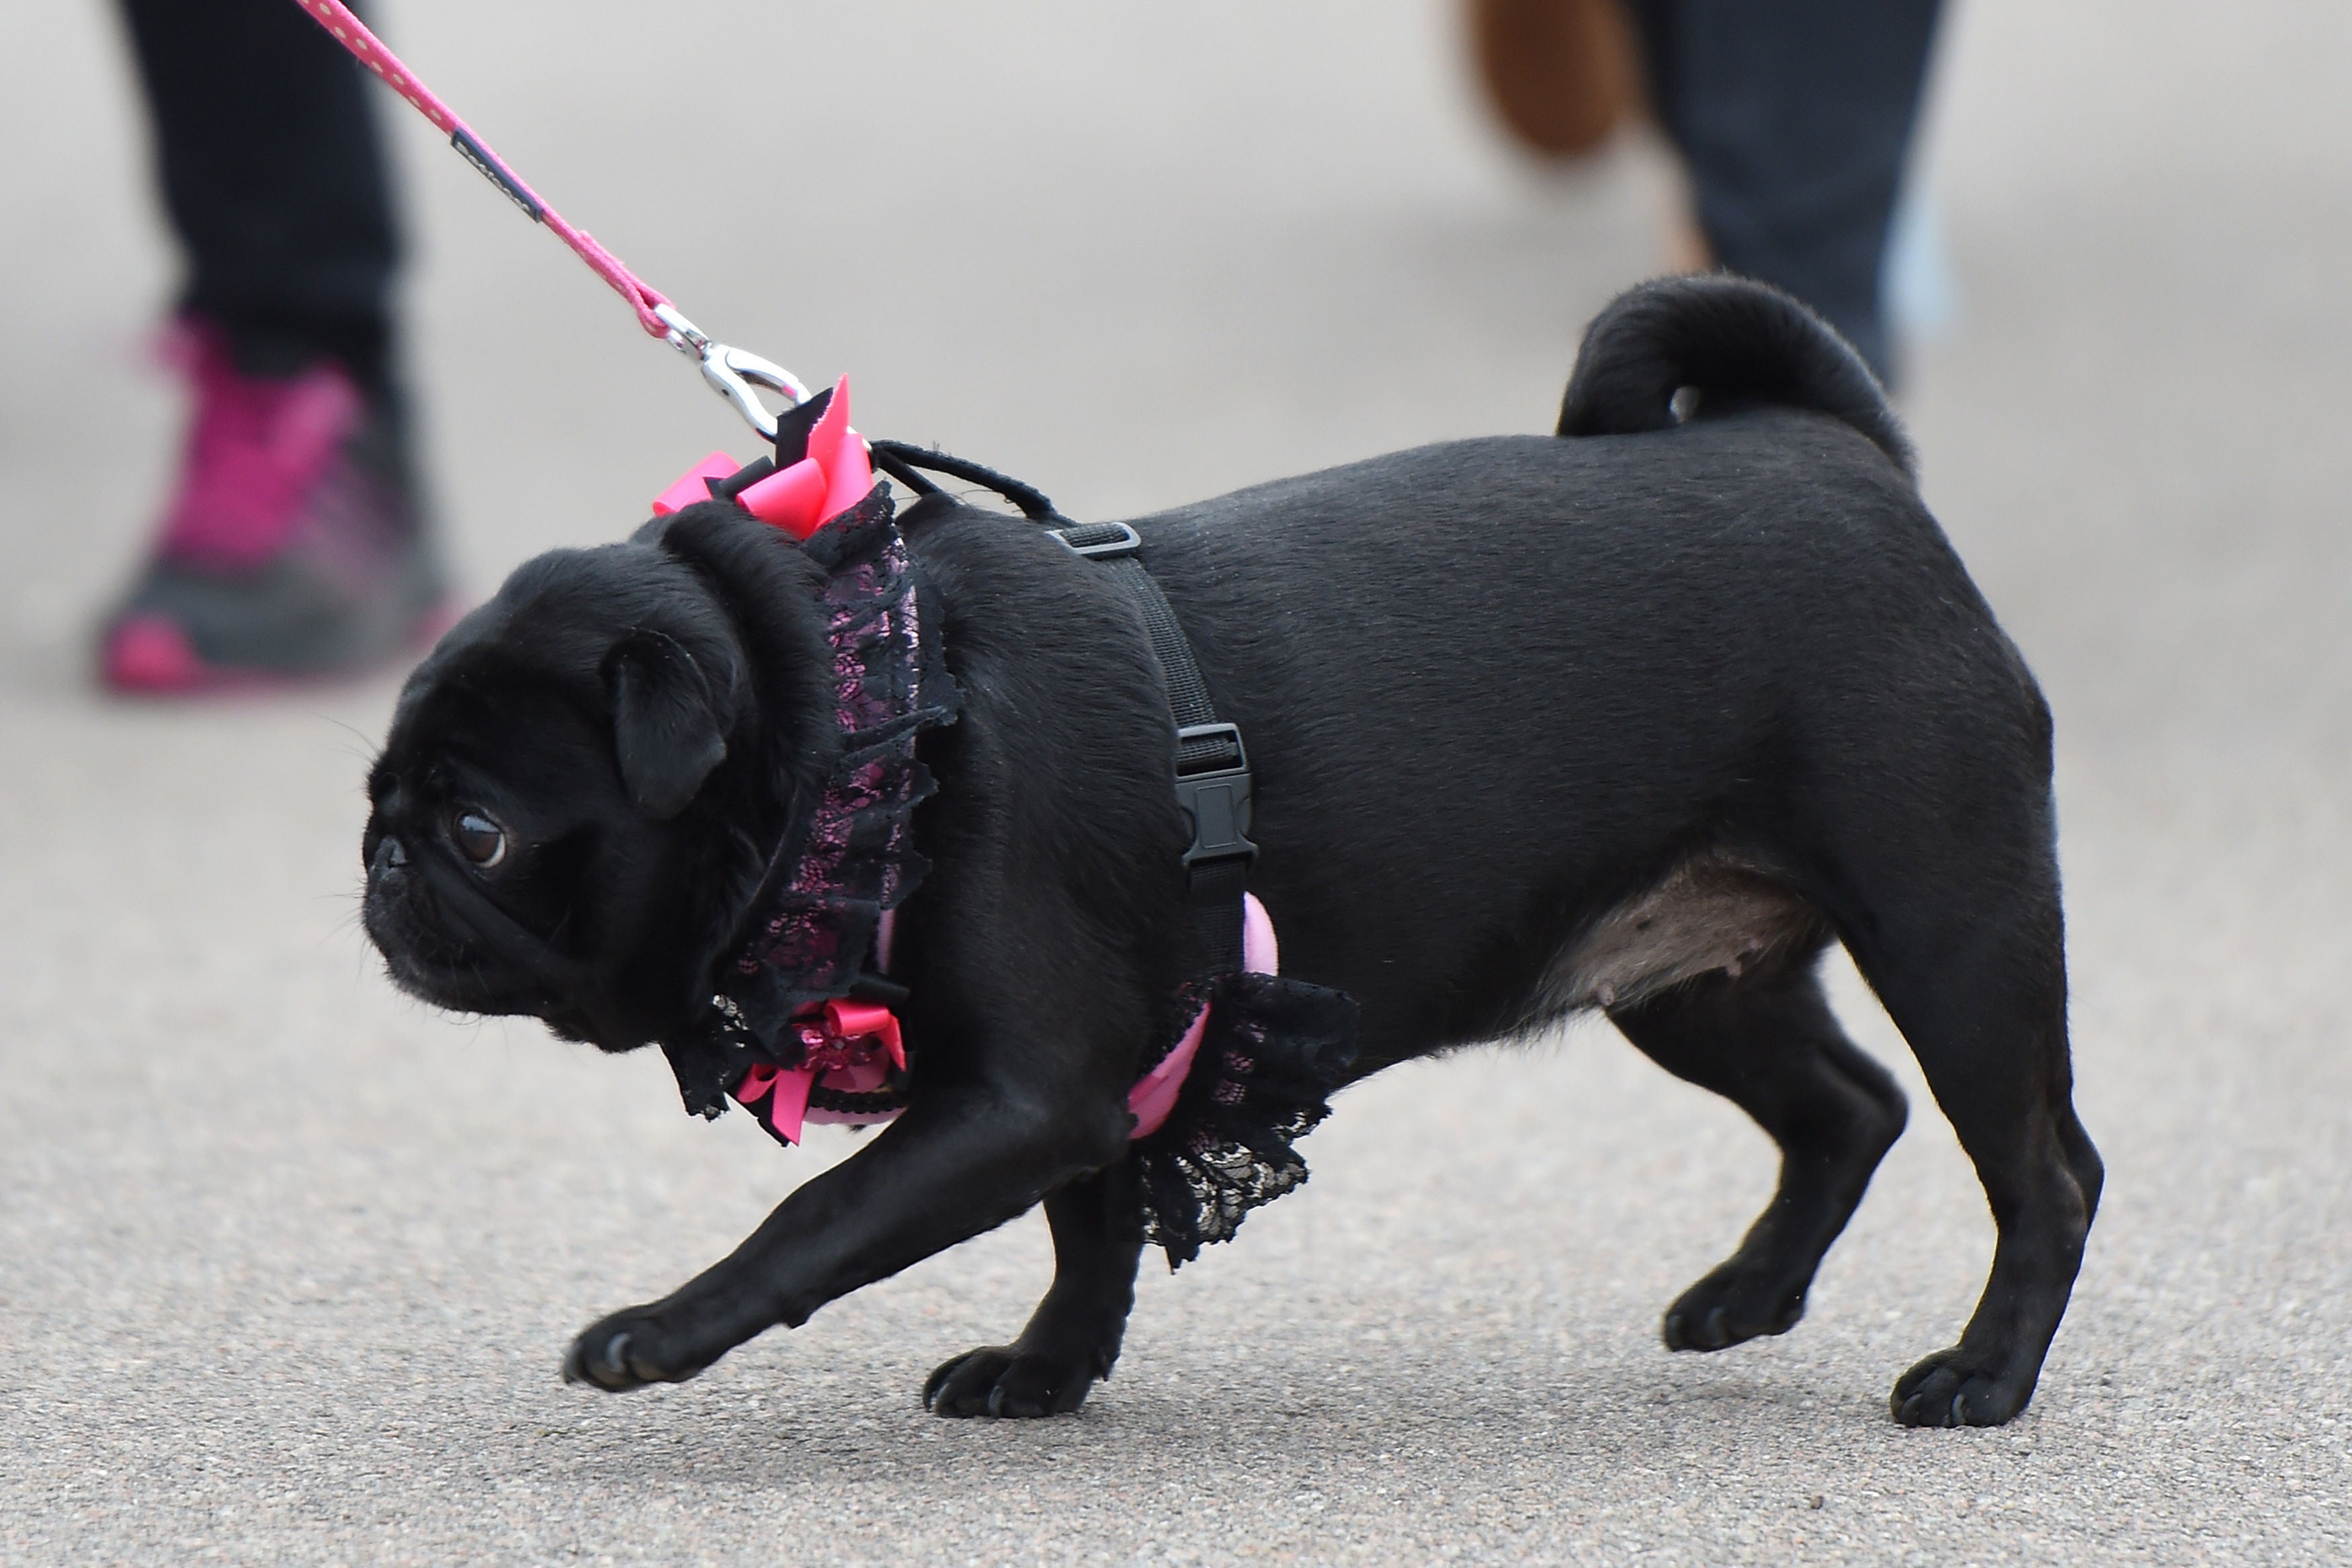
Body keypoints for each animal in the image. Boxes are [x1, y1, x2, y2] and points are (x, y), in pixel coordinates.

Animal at [362, 276, 2098, 1429]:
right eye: (383, 795)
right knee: (1849, 1106)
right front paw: (1045, 1370)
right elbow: (1091, 1229)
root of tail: (1839, 450)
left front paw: (665, 1327)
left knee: (2041, 1165)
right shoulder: (1080, 1085)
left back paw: (1984, 1373)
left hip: (1953, 929)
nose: (379, 871)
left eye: (480, 831)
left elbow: (827, 1219)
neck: (863, 704)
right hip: (1688, 981)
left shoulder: (1022, 1087)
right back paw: (1750, 1295)